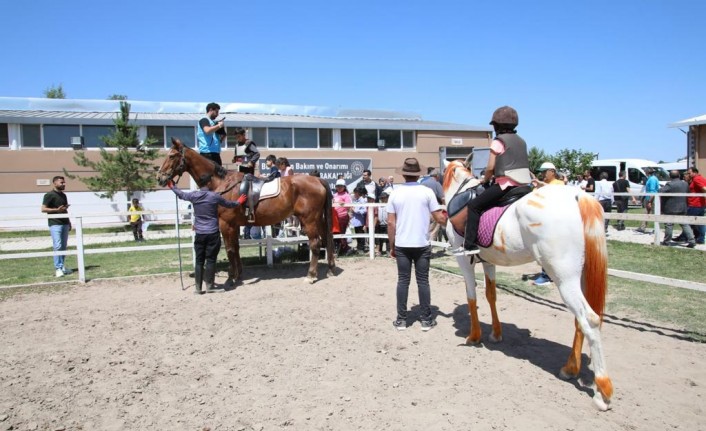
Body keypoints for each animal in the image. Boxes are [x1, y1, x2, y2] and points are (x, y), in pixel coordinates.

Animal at [157, 140, 336, 286]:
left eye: (172, 156)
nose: (160, 178)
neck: (223, 183)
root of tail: (317, 179)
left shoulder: (226, 224)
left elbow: (229, 249)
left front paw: (231, 278)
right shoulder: (234, 225)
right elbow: (236, 248)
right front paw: (238, 274)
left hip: (309, 220)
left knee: (315, 243)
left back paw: (311, 276)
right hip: (318, 219)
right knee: (327, 239)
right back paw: (330, 268)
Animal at [442, 160, 608, 410]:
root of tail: (576, 196)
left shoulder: (464, 260)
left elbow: (472, 296)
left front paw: (474, 336)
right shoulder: (489, 262)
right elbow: (491, 295)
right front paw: (496, 334)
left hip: (563, 277)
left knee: (590, 319)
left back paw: (602, 391)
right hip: (578, 277)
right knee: (580, 321)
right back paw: (570, 369)